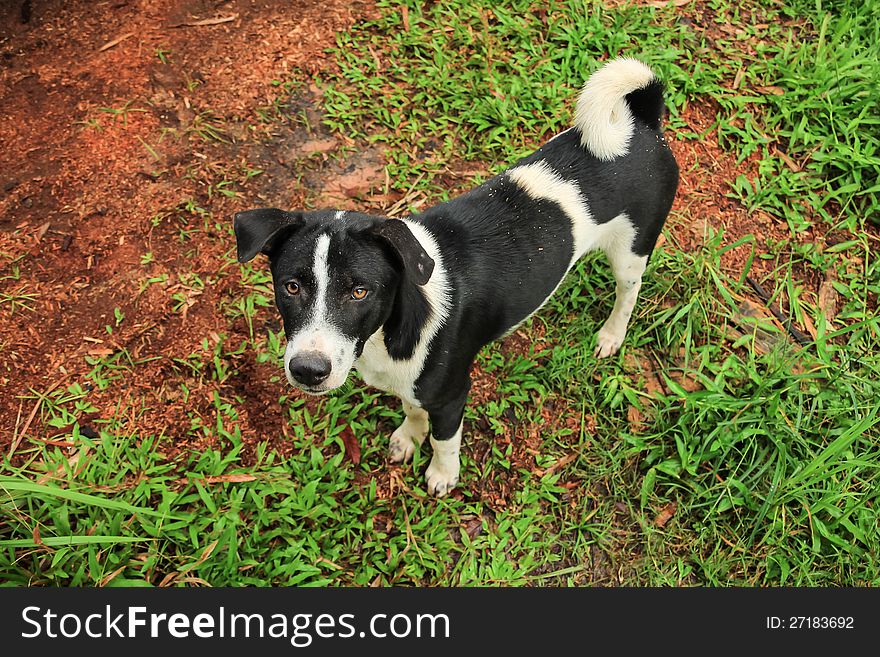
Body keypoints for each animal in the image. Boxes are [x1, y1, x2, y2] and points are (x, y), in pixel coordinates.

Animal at [234, 59, 680, 494]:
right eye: (291, 287)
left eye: (359, 291)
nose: (307, 371)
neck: (391, 331)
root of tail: (642, 122)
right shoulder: (413, 385)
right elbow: (413, 409)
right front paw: (409, 436)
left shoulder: (451, 395)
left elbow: (443, 439)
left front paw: (442, 474)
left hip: (632, 251)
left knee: (628, 292)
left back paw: (611, 336)